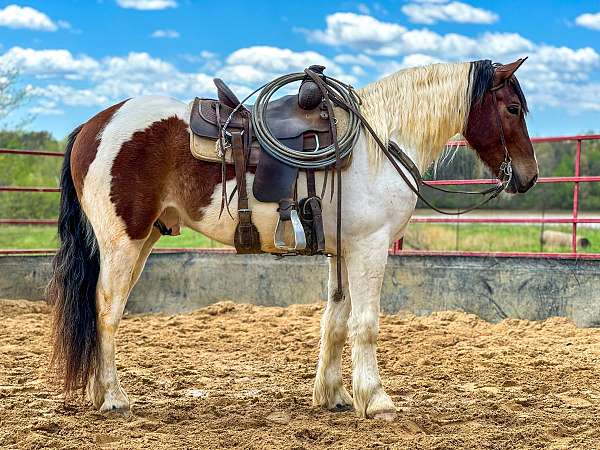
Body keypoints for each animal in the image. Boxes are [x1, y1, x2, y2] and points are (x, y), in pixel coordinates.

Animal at [48, 58, 540, 420]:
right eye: (513, 109)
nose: (529, 177)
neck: (381, 143)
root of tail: (95, 124)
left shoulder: (343, 251)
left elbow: (335, 322)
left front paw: (334, 395)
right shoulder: (370, 249)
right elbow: (366, 324)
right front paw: (376, 400)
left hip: (144, 240)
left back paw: (98, 392)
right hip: (122, 242)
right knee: (106, 310)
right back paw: (113, 398)